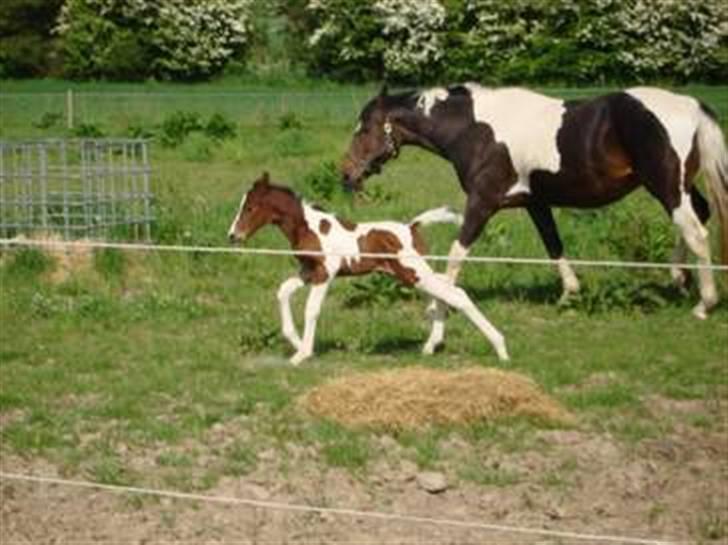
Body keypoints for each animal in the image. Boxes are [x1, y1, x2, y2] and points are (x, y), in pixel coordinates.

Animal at [228, 172, 506, 364]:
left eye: (250, 207)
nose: (232, 236)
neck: (308, 227)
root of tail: (411, 227)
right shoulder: (309, 271)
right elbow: (283, 291)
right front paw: (296, 342)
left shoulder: (325, 273)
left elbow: (311, 310)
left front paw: (302, 354)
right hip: (411, 273)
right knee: (442, 291)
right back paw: (431, 345)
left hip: (413, 272)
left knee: (456, 294)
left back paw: (500, 348)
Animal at [342, 83, 728, 316]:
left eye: (364, 128)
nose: (346, 174)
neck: (474, 130)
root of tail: (692, 107)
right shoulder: (536, 204)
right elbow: (553, 244)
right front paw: (569, 293)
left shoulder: (482, 202)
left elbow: (456, 252)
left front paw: (442, 304)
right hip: (679, 186)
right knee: (700, 216)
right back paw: (680, 279)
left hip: (666, 185)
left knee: (695, 231)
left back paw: (704, 303)